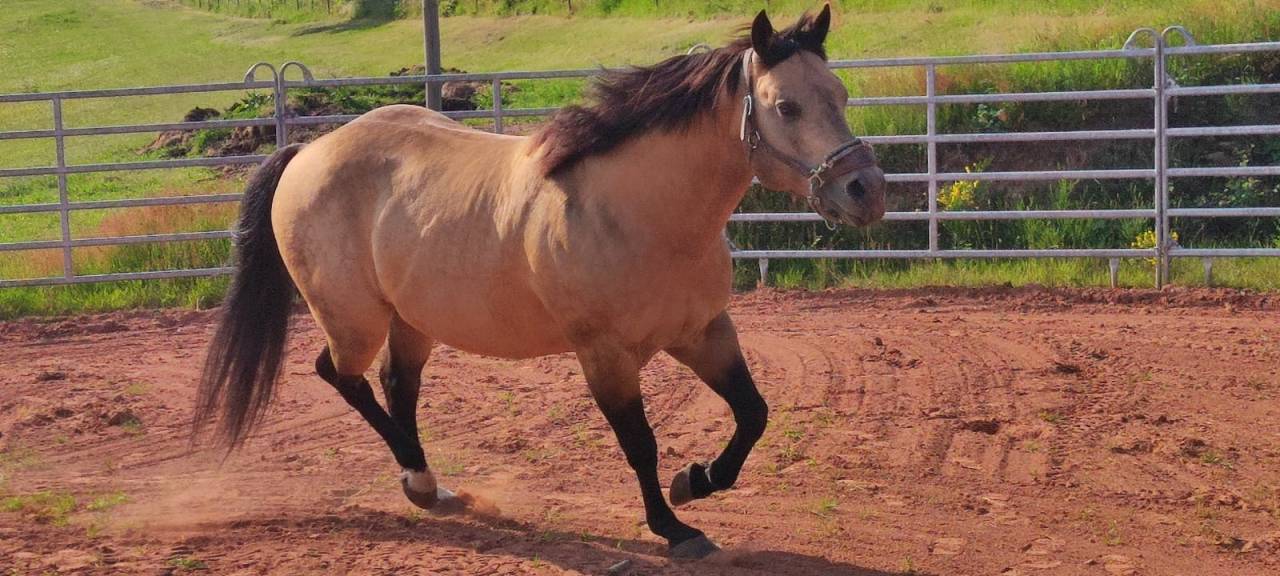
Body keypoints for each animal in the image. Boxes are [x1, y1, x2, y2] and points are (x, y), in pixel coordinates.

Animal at [195, 4, 885, 559]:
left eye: (841, 93)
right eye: (786, 106)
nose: (867, 190)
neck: (639, 211)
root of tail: (306, 153)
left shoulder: (703, 332)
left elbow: (753, 413)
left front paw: (696, 483)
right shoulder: (604, 355)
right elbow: (640, 443)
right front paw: (673, 527)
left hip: (412, 320)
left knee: (397, 385)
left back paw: (427, 486)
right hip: (353, 320)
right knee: (341, 376)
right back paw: (421, 481)